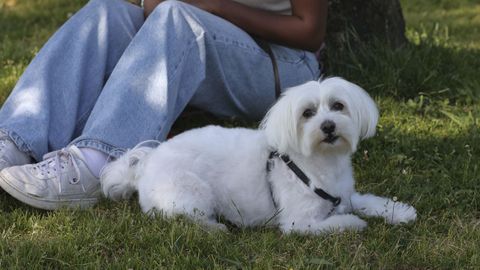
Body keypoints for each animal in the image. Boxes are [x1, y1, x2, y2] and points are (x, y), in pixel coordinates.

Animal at [101, 77, 416, 233]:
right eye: (308, 113)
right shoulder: (298, 223)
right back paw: (214, 228)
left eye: (338, 106)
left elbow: (368, 201)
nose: (328, 126)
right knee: (182, 217)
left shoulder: (345, 195)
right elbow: (338, 223)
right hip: (190, 191)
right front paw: (355, 223)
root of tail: (145, 165)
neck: (319, 163)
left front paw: (398, 212)